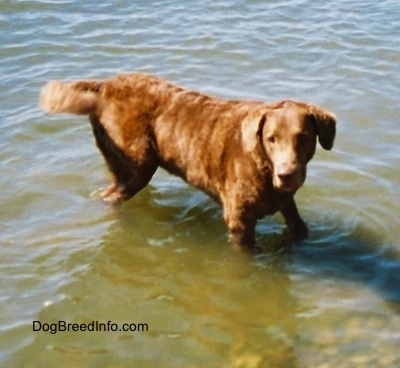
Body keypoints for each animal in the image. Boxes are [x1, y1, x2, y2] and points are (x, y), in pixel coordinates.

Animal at [39, 72, 334, 250]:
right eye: (271, 139)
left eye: (303, 137)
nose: (286, 174)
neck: (263, 166)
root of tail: (105, 86)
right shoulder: (239, 221)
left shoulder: (286, 202)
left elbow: (300, 227)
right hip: (137, 164)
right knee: (111, 195)